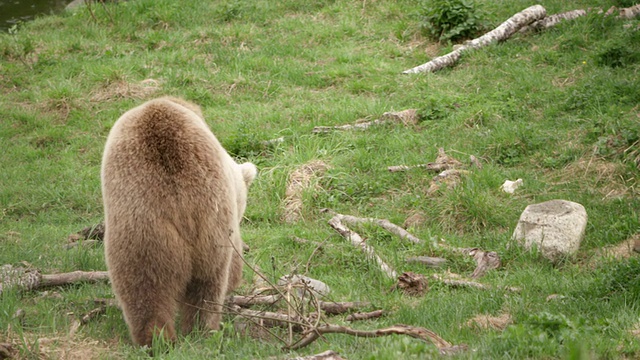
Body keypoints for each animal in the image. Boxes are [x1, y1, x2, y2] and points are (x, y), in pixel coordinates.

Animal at [101, 95, 256, 346]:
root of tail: (181, 202)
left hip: (150, 233)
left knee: (147, 286)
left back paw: (161, 336)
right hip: (202, 232)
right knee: (202, 286)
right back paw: (191, 331)